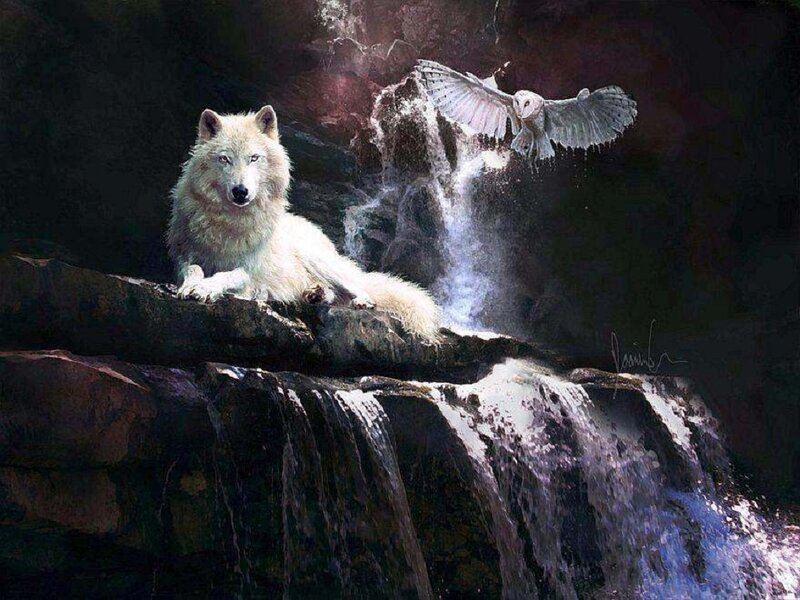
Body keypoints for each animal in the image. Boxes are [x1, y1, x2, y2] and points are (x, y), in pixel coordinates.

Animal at [167, 105, 441, 341]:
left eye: (254, 158)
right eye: (225, 159)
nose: (240, 191)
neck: (230, 222)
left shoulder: (248, 270)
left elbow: (225, 275)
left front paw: (204, 289)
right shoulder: (184, 256)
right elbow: (194, 269)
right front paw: (191, 286)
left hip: (320, 261)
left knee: (357, 288)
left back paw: (358, 300)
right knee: (332, 293)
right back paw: (313, 294)